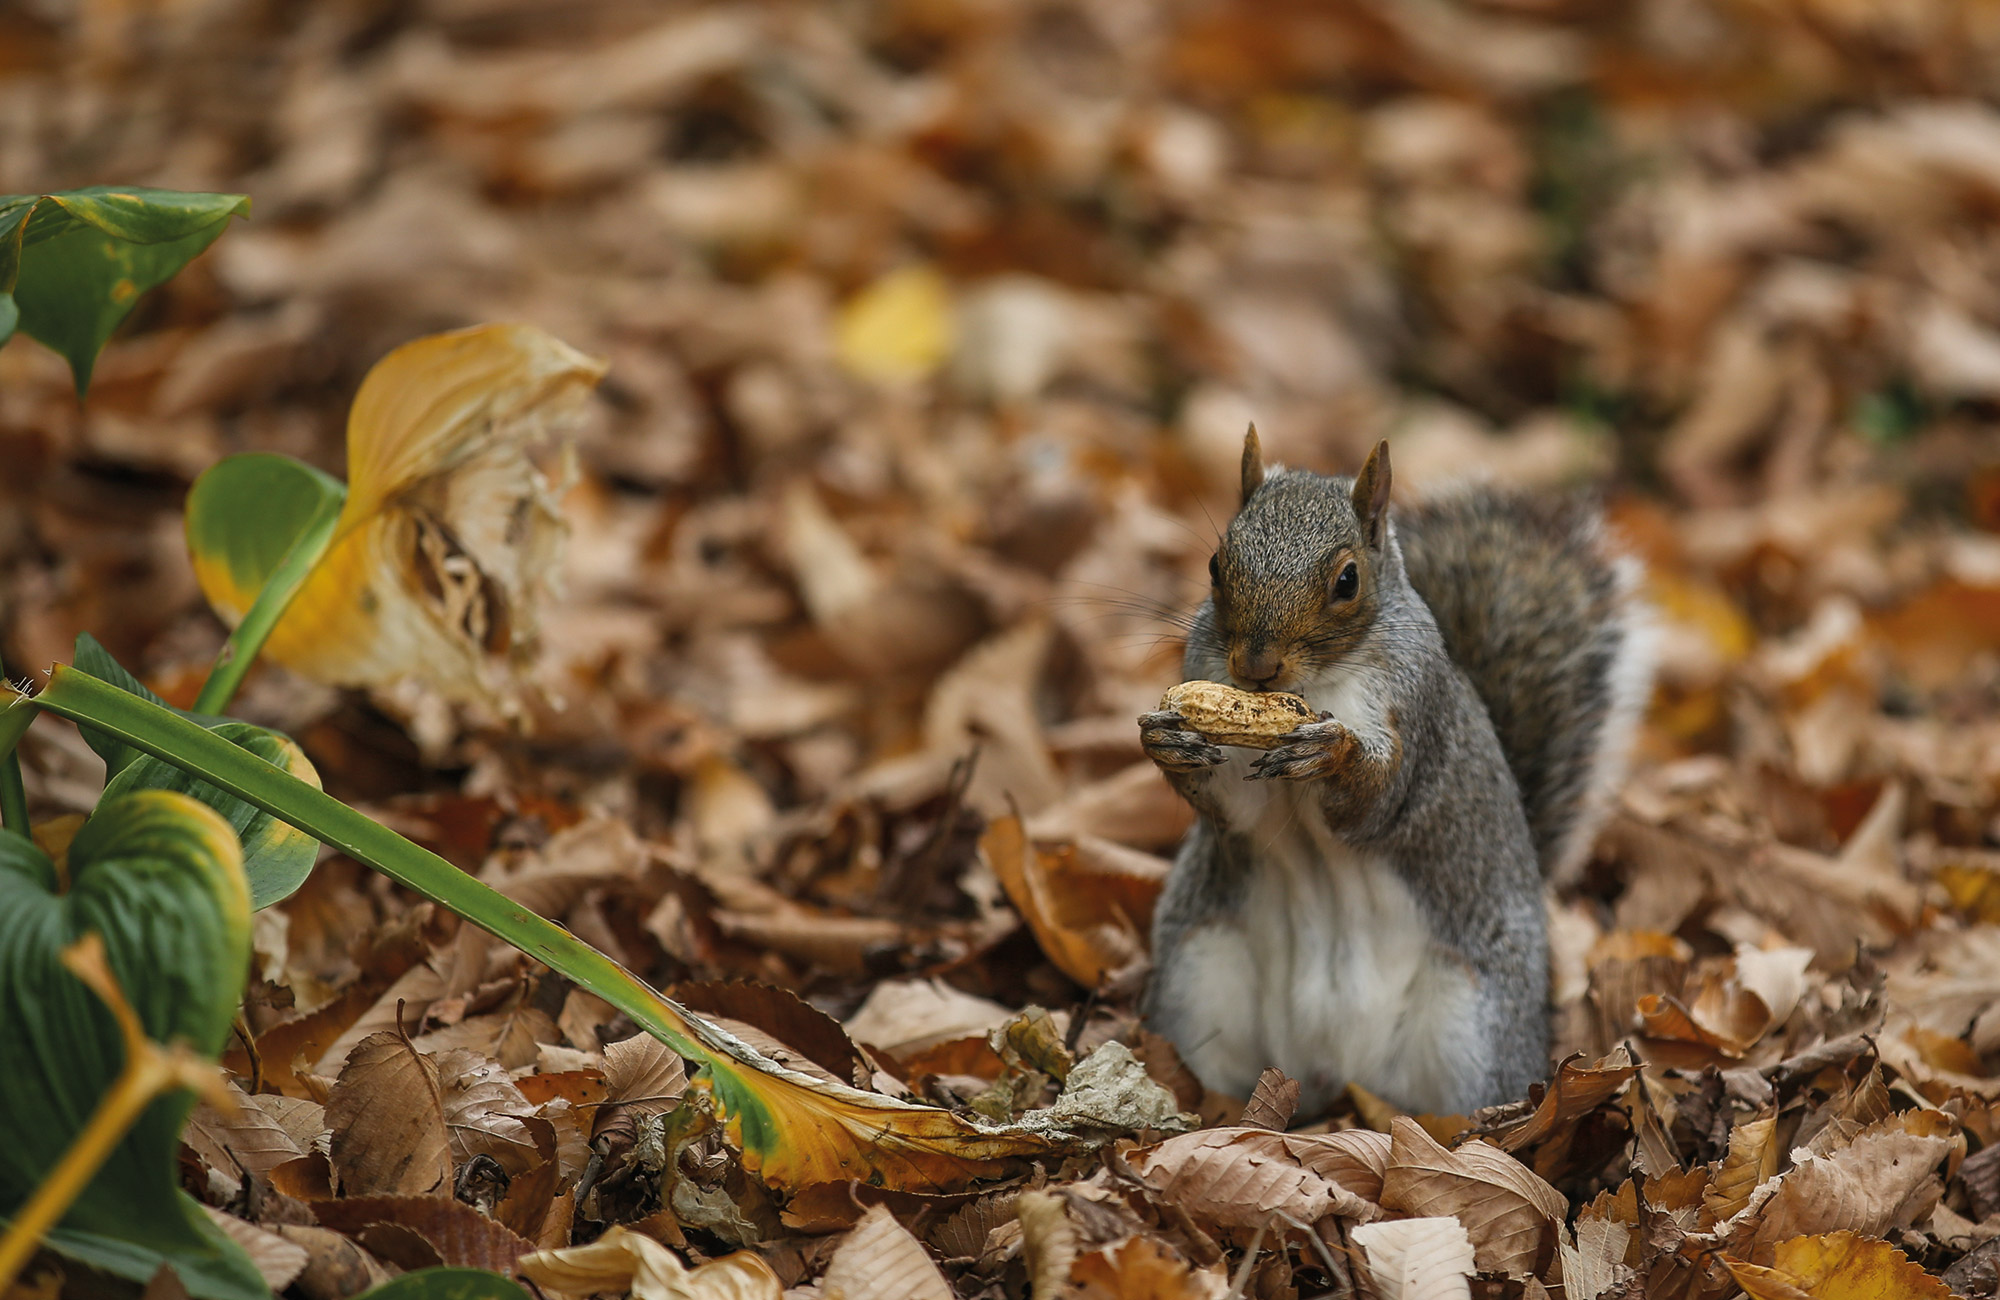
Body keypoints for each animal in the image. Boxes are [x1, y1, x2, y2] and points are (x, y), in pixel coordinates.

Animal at [1144, 428, 1656, 1112]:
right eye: (1214, 566)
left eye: (1347, 580)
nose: (1255, 667)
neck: (1314, 685)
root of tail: (1333, 1075)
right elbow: (1234, 803)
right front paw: (1167, 738)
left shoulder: (1415, 710)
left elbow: (1378, 800)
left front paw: (1331, 751)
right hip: (1198, 972)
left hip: (1471, 1026)